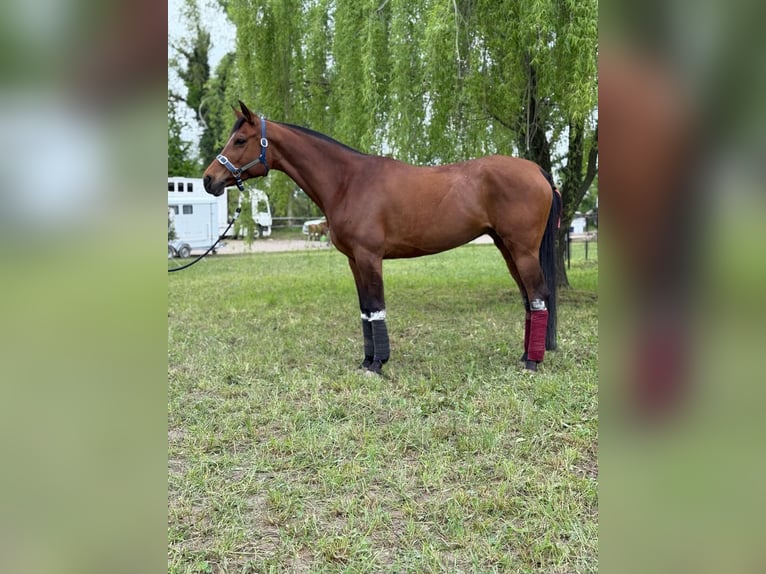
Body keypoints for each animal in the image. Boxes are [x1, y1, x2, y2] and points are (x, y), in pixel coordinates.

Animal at [203, 101, 561, 375]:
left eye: (240, 140)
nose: (209, 179)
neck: (348, 181)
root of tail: (537, 170)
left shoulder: (369, 257)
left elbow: (376, 307)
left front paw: (378, 364)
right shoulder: (354, 261)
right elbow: (365, 309)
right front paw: (366, 361)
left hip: (522, 249)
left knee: (537, 296)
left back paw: (532, 362)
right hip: (507, 248)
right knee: (529, 299)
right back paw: (525, 355)